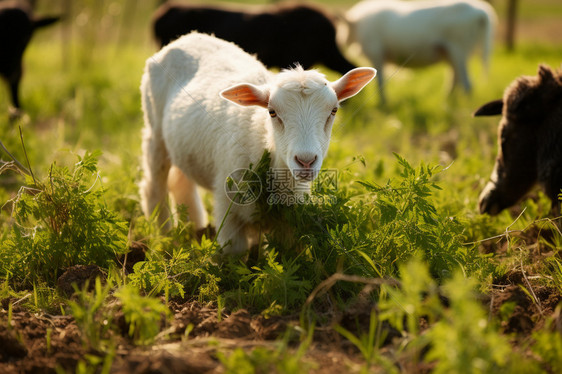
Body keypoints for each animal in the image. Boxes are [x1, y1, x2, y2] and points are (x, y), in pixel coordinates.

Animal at [139, 32, 376, 254]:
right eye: (272, 112)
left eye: (333, 111)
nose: (306, 161)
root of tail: (188, 37)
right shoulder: (228, 208)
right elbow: (235, 253)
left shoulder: (288, 223)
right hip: (154, 132)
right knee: (154, 187)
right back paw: (165, 237)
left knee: (182, 183)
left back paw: (193, 229)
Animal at [342, 0, 494, 103]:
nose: (343, 42)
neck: (357, 26)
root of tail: (481, 13)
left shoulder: (376, 53)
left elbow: (380, 82)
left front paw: (383, 104)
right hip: (452, 53)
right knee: (455, 79)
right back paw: (446, 101)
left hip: (459, 48)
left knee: (468, 84)